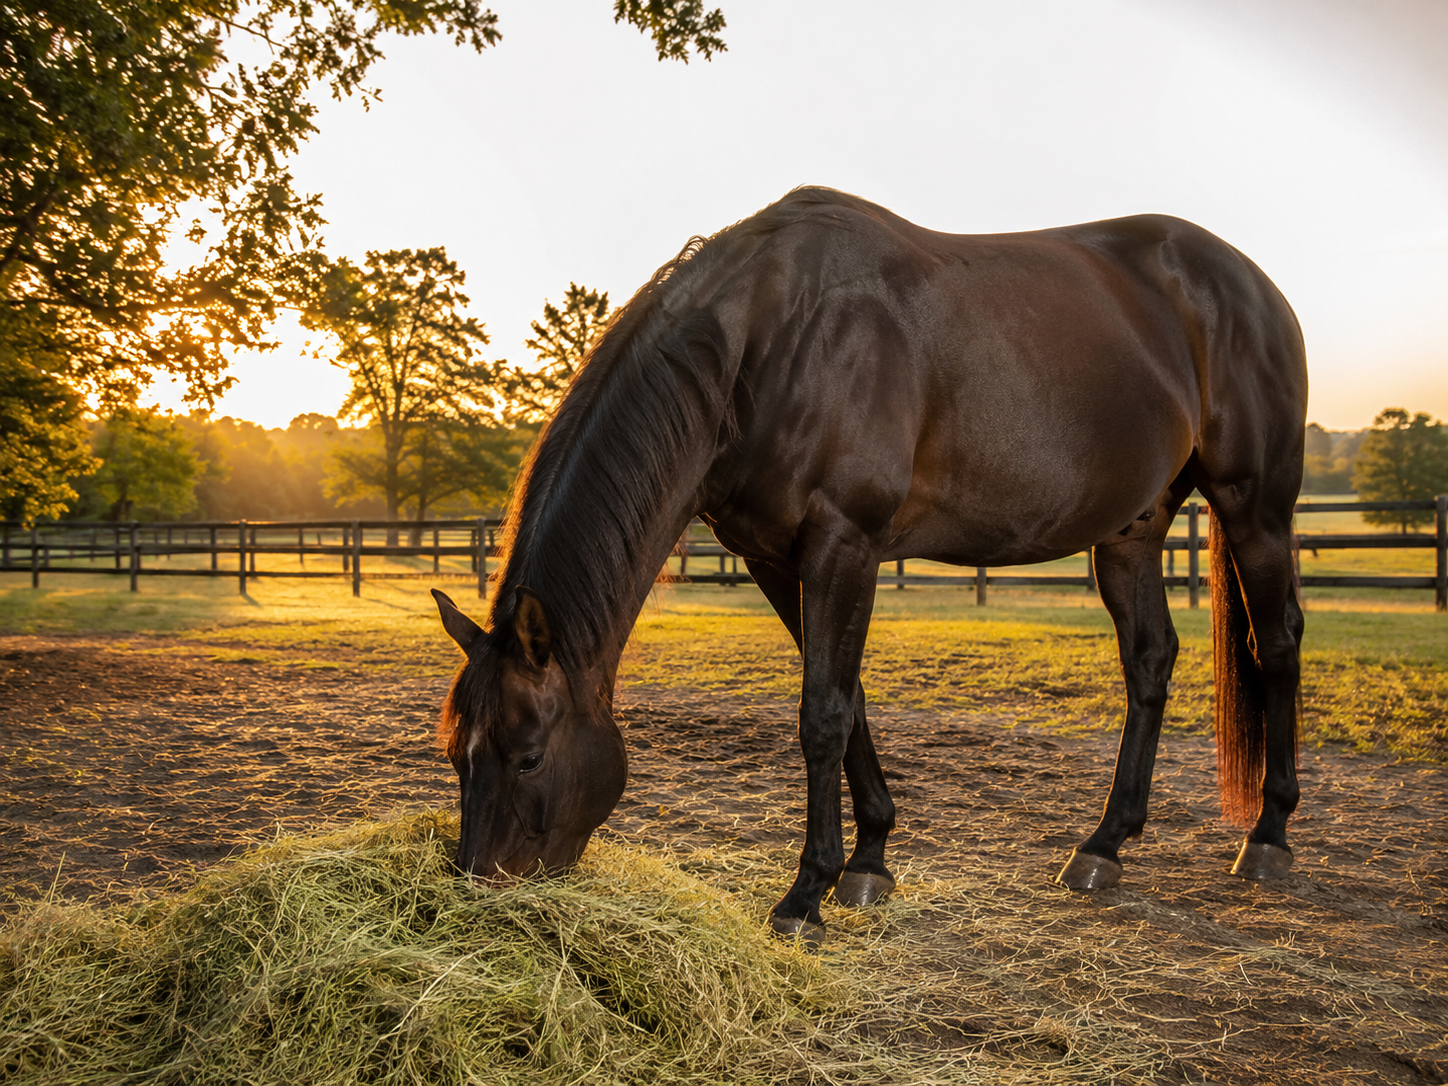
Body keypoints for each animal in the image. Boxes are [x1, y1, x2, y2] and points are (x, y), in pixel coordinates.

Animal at [432, 186, 1306, 943]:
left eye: (529, 755)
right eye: (455, 752)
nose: (480, 883)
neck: (770, 343)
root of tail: (1249, 282)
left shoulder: (842, 546)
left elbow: (821, 713)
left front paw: (805, 895)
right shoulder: (775, 560)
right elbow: (848, 703)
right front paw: (870, 861)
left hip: (1255, 507)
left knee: (1279, 645)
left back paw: (1268, 837)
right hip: (1132, 530)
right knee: (1150, 659)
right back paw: (1105, 844)